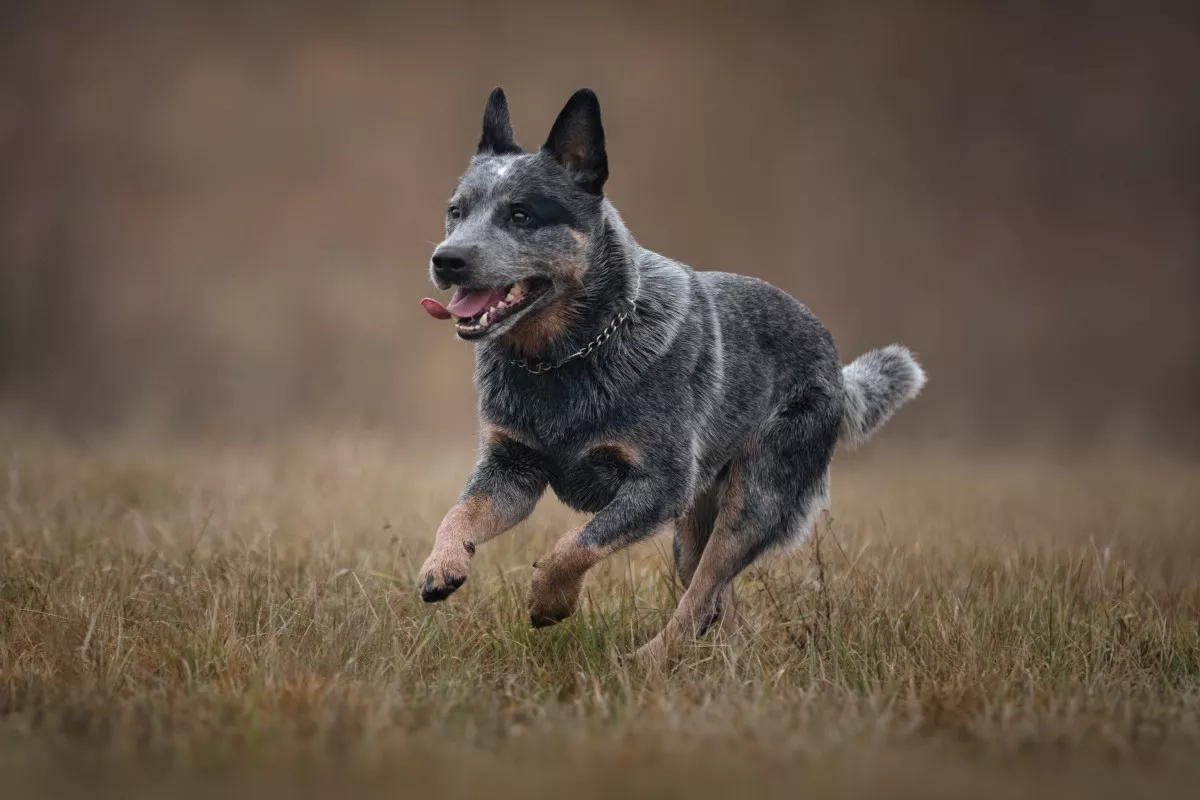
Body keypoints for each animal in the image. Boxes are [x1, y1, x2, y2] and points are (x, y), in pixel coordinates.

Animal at [417, 87, 921, 662]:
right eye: (456, 212)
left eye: (520, 214)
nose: (446, 259)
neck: (564, 360)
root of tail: (837, 369)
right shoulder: (512, 467)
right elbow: (459, 511)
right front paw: (442, 564)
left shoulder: (659, 485)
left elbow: (577, 545)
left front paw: (550, 600)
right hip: (691, 530)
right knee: (720, 605)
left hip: (753, 501)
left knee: (702, 597)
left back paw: (646, 661)